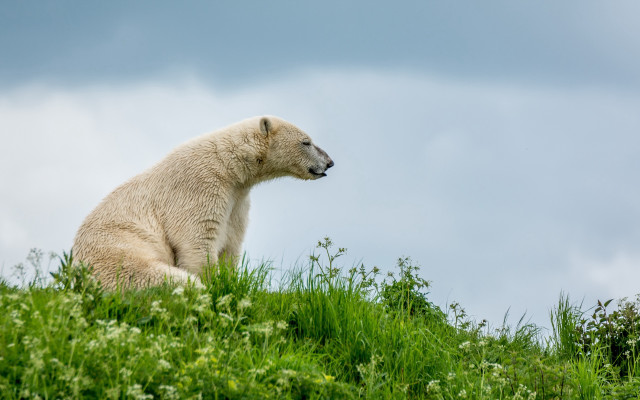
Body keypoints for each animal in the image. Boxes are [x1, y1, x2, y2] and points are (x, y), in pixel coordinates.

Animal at [72, 116, 333, 289]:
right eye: (306, 142)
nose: (329, 162)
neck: (229, 166)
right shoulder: (200, 188)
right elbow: (197, 241)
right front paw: (213, 284)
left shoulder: (237, 200)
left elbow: (231, 243)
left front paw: (229, 280)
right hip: (117, 257)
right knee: (156, 276)